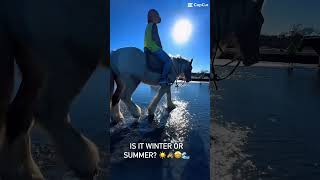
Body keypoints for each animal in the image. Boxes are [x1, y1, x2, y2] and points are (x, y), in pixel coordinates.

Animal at [0, 0, 108, 179]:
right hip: (74, 52)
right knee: (47, 110)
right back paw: (85, 163)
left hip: (34, 63)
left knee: (19, 115)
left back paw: (28, 174)